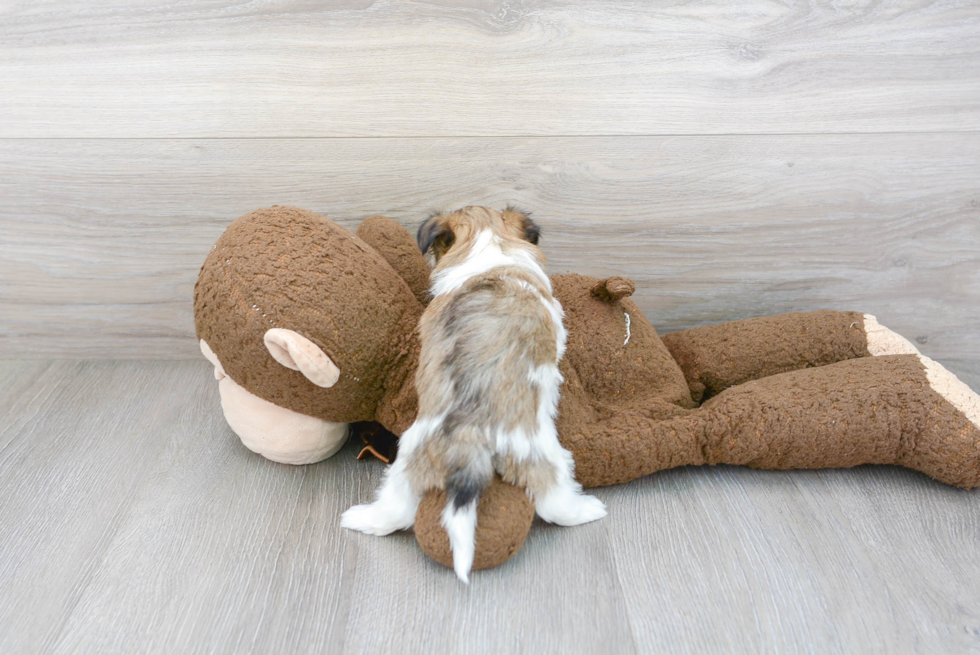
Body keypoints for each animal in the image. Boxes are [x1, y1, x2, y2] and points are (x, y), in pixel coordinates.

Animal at [342, 206, 604, 584]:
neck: (490, 243)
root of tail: (469, 433)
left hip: (410, 460)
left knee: (396, 510)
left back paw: (360, 519)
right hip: (545, 455)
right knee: (555, 503)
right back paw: (588, 509)